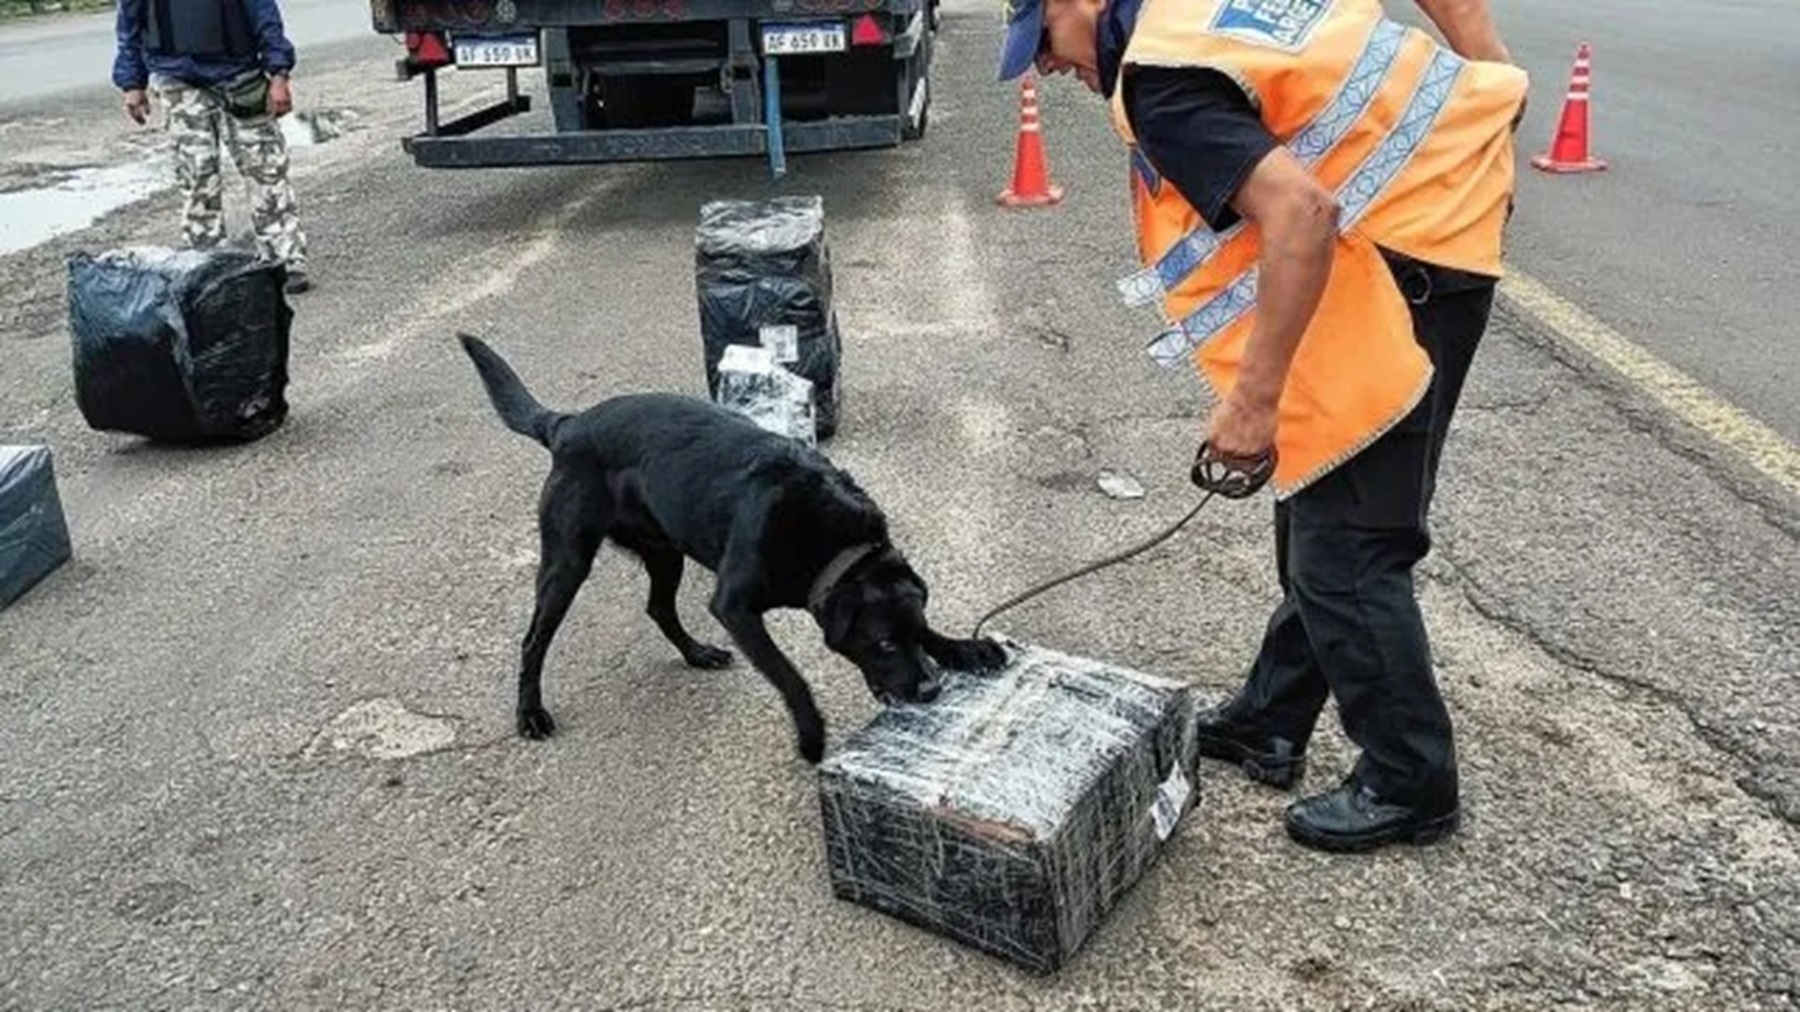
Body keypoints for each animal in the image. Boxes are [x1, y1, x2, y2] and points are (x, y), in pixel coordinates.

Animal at [457, 334, 1008, 759]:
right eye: (884, 644)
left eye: (910, 633)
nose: (931, 689)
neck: (833, 542)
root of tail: (567, 423)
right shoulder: (735, 607)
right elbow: (790, 675)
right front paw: (811, 734)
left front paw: (963, 648)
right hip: (568, 559)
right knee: (534, 639)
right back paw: (530, 712)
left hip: (665, 550)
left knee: (659, 608)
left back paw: (697, 654)